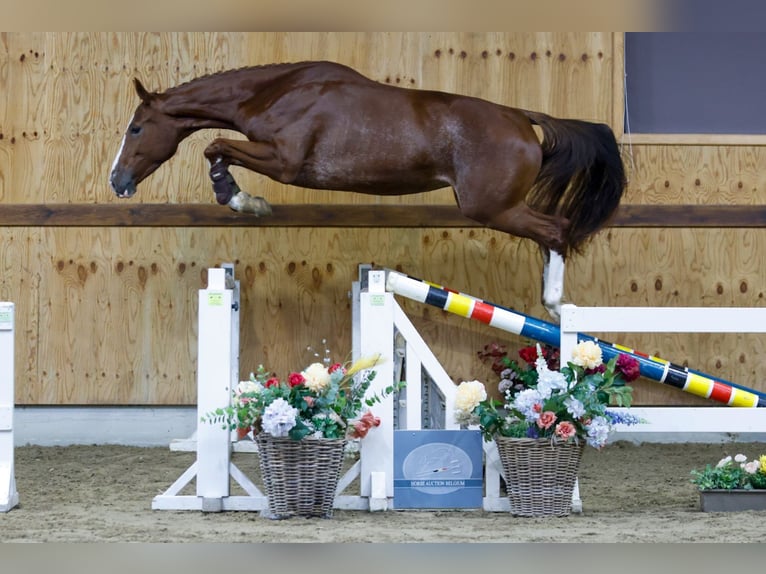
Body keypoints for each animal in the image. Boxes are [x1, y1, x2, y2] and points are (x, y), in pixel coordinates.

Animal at [111, 60, 628, 322]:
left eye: (136, 129)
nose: (118, 183)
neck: (277, 92)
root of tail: (523, 118)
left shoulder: (285, 162)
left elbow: (216, 146)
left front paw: (243, 200)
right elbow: (216, 150)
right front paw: (238, 196)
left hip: (492, 208)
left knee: (556, 229)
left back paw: (556, 305)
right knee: (551, 234)